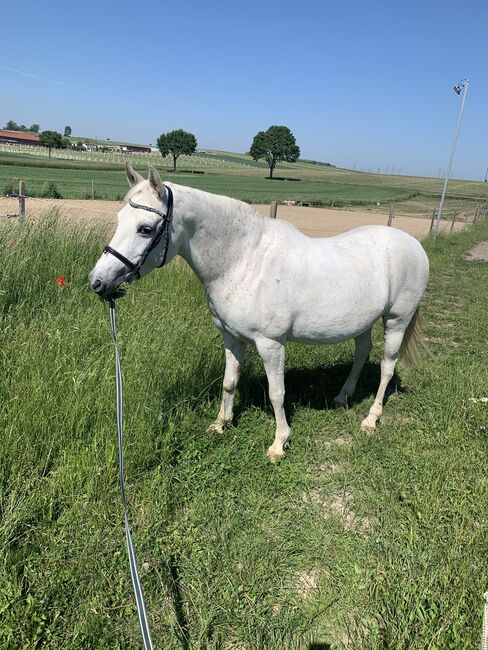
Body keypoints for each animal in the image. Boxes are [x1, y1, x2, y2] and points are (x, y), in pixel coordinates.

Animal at [89, 165, 428, 458]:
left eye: (145, 229)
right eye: (119, 219)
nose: (98, 281)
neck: (244, 260)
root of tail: (414, 245)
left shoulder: (271, 344)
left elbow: (277, 393)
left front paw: (280, 443)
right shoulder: (231, 338)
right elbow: (229, 382)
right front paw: (220, 424)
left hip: (397, 321)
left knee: (387, 366)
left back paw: (371, 419)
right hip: (362, 324)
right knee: (361, 355)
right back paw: (342, 397)